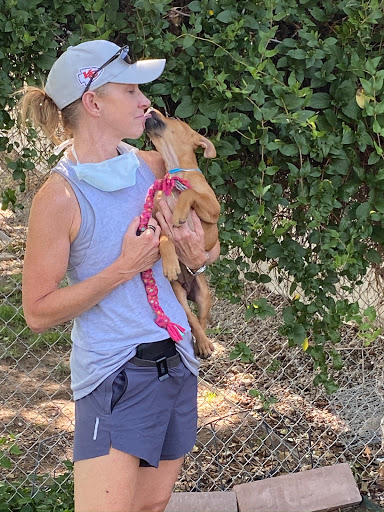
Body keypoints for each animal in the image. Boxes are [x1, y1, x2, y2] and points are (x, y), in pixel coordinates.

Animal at [146, 107, 220, 356]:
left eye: (174, 118)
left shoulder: (214, 208)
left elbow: (190, 193)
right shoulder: (158, 220)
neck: (176, 172)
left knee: (202, 320)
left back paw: (204, 345)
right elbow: (164, 238)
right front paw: (170, 264)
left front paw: (180, 210)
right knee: (191, 319)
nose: (149, 108)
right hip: (178, 293)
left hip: (204, 294)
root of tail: (188, 289)